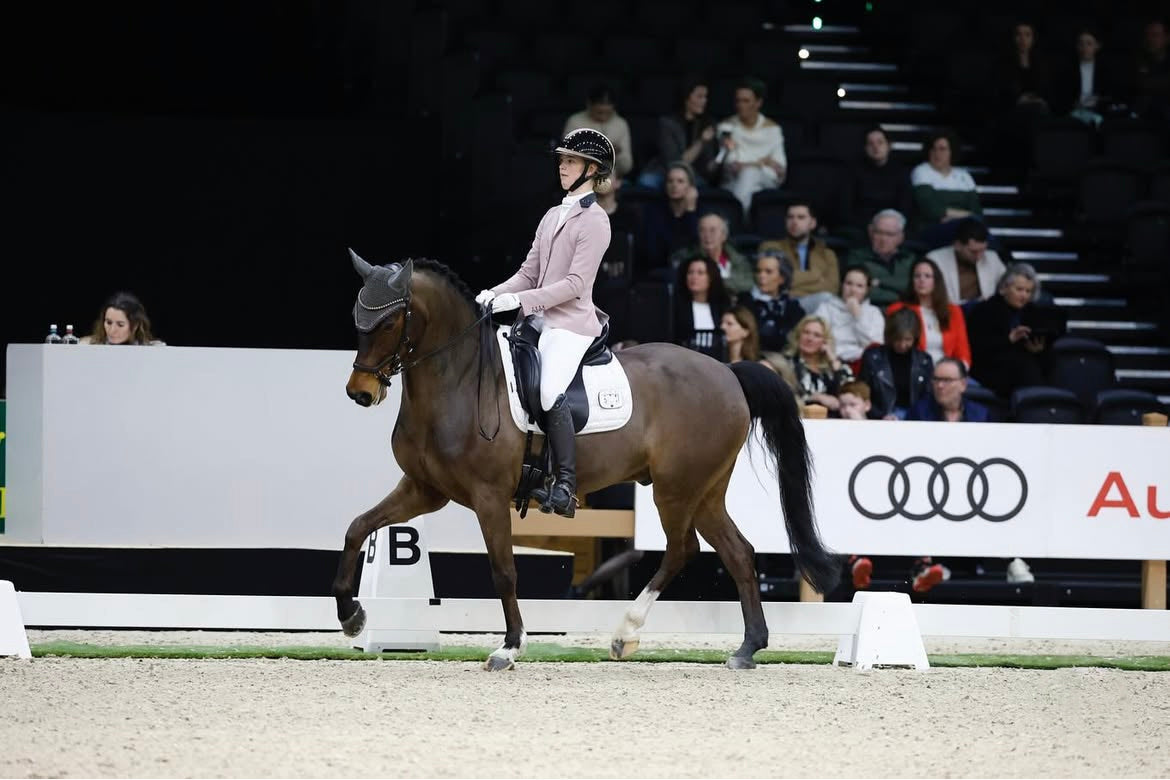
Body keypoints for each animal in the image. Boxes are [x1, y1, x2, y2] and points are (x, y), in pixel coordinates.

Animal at [334, 251, 840, 670]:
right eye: (357, 319)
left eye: (388, 323)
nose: (360, 393)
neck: (457, 380)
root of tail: (728, 372)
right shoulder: (425, 489)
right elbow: (358, 527)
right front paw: (352, 616)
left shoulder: (489, 496)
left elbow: (504, 570)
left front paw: (509, 647)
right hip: (705, 491)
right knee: (738, 552)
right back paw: (747, 648)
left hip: (676, 490)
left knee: (683, 549)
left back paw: (626, 634)